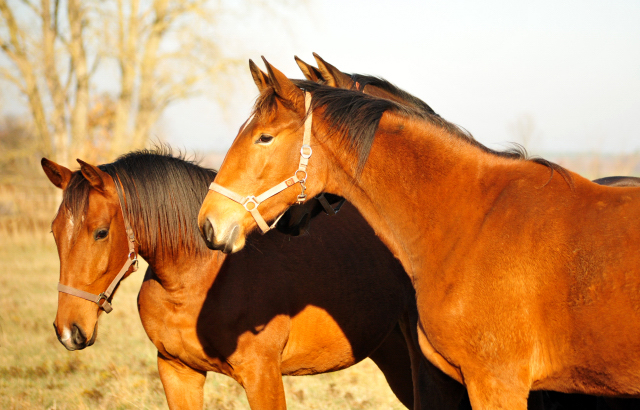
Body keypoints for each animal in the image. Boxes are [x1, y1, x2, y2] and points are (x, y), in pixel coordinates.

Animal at [42, 151, 470, 410]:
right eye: (54, 232)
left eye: (100, 233)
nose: (69, 331)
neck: (200, 277)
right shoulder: (176, 371)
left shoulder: (262, 376)